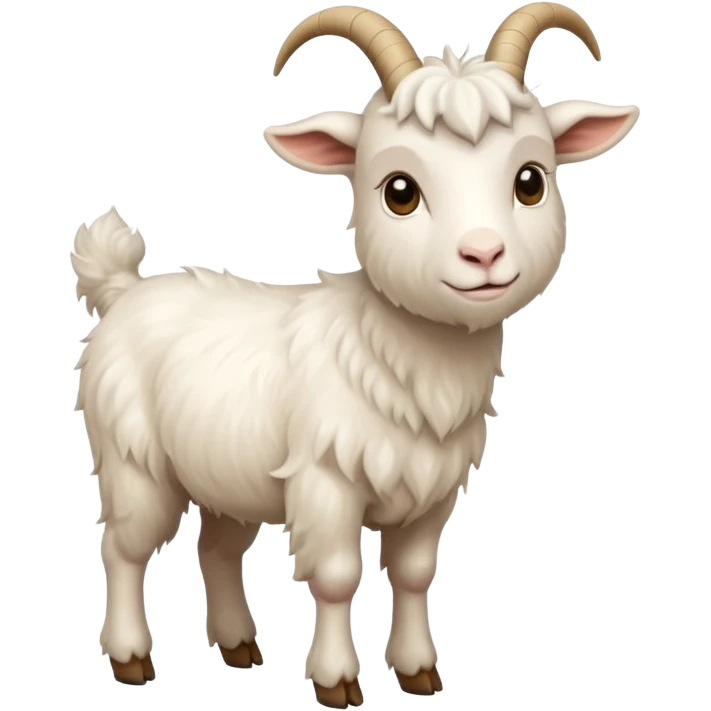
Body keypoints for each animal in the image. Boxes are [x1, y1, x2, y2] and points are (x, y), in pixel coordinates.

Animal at [72, 3, 639, 707]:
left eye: (531, 181)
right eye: (399, 190)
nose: (483, 254)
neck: (397, 349)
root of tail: (122, 289)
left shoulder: (433, 490)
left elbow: (415, 573)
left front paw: (419, 671)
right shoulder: (326, 480)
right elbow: (340, 577)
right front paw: (337, 680)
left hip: (228, 477)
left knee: (217, 549)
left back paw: (238, 647)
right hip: (134, 458)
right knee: (125, 547)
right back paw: (130, 657)